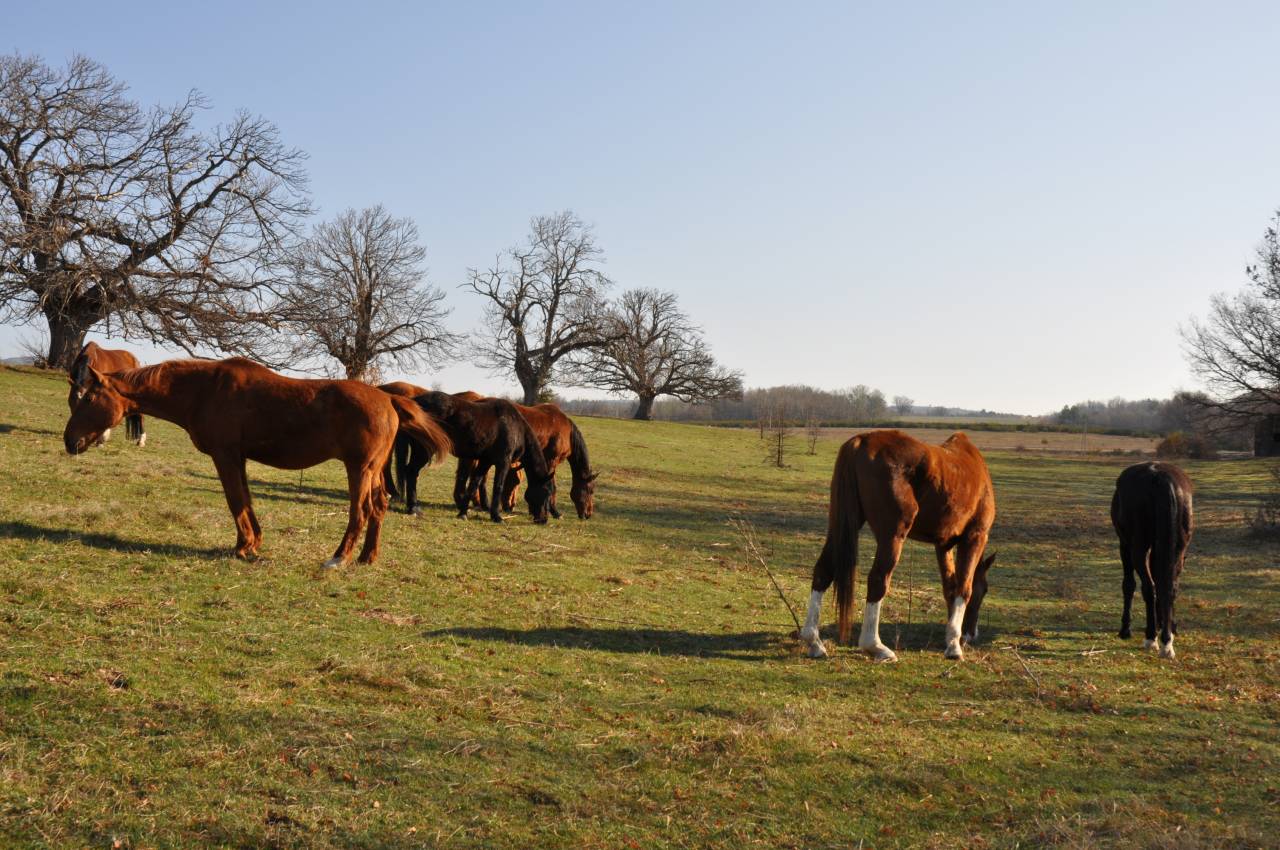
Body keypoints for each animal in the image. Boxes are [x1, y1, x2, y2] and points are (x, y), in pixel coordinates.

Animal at [63, 358, 452, 568]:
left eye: (88, 399)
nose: (70, 440)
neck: (205, 390)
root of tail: (388, 399)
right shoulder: (239, 459)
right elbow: (246, 501)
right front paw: (252, 542)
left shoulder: (225, 457)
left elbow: (235, 501)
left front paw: (244, 546)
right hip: (373, 471)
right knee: (379, 506)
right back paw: (366, 557)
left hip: (358, 469)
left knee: (361, 512)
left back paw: (338, 558)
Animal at [393, 390, 553, 523]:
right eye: (546, 493)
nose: (543, 520)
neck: (515, 427)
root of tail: (414, 402)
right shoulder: (503, 462)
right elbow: (498, 487)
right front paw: (496, 516)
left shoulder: (485, 461)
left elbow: (474, 483)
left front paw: (463, 513)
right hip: (424, 451)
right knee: (412, 472)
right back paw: (413, 508)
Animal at [799, 430, 997, 663]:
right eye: (985, 589)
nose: (971, 634)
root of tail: (861, 440)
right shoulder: (975, 537)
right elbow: (964, 587)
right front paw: (955, 646)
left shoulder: (943, 544)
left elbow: (950, 586)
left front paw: (950, 639)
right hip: (892, 536)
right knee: (878, 580)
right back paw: (875, 646)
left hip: (842, 525)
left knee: (823, 571)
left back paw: (814, 642)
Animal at [1111, 461, 1193, 659]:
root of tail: (1161, 478)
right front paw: (1165, 625)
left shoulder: (1124, 545)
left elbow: (1129, 585)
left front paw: (1126, 629)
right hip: (1177, 548)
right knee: (1169, 587)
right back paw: (1166, 641)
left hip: (1138, 548)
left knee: (1149, 587)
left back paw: (1151, 638)